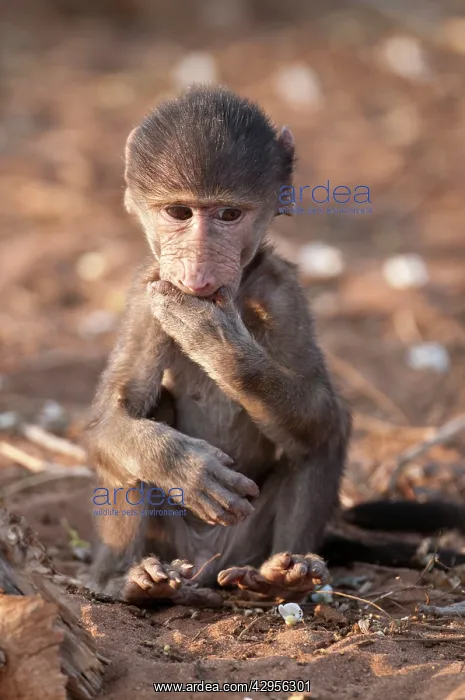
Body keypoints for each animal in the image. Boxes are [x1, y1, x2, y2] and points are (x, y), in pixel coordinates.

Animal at [85, 85, 465, 608]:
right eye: (179, 213)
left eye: (229, 214)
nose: (199, 273)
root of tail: (208, 565)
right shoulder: (148, 295)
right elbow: (110, 417)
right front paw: (187, 469)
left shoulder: (283, 293)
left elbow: (321, 409)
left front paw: (214, 339)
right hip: (175, 540)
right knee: (149, 415)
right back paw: (128, 582)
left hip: (248, 539)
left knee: (326, 431)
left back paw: (286, 575)